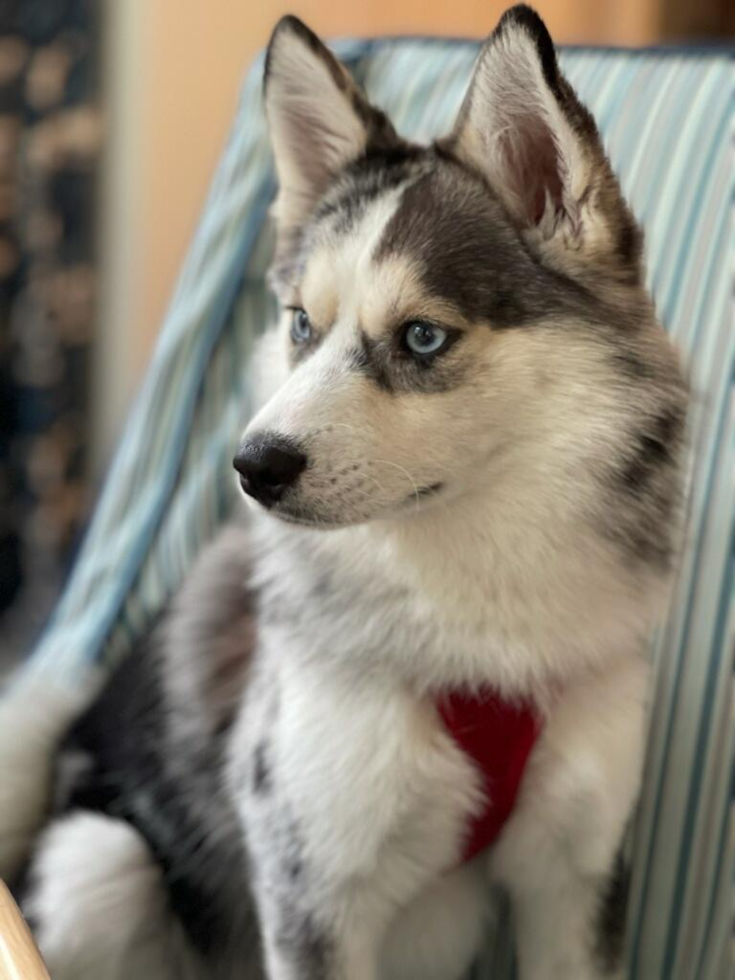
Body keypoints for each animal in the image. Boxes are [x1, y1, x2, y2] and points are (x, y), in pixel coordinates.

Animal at [21, 7, 688, 980]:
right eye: (302, 323)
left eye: (421, 337)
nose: (252, 465)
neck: (478, 629)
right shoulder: (312, 886)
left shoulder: (576, 872)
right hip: (96, 864)